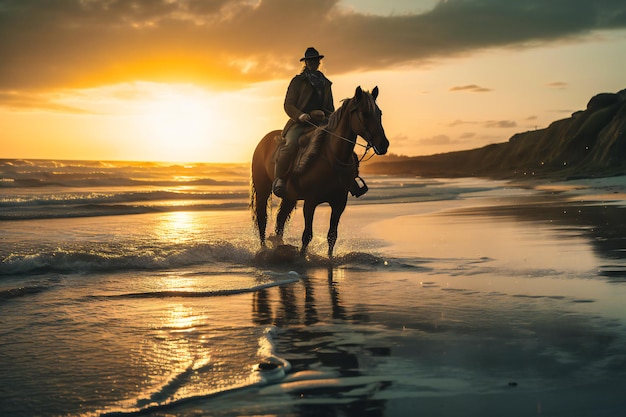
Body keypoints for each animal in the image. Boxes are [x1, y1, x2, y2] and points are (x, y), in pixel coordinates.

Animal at [247, 85, 386, 256]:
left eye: (379, 113)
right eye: (364, 113)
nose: (384, 144)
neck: (332, 157)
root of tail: (263, 141)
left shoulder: (339, 203)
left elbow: (332, 236)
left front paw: (329, 258)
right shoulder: (310, 201)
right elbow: (307, 235)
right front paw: (302, 257)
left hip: (289, 196)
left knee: (280, 219)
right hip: (263, 189)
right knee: (262, 219)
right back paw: (264, 249)